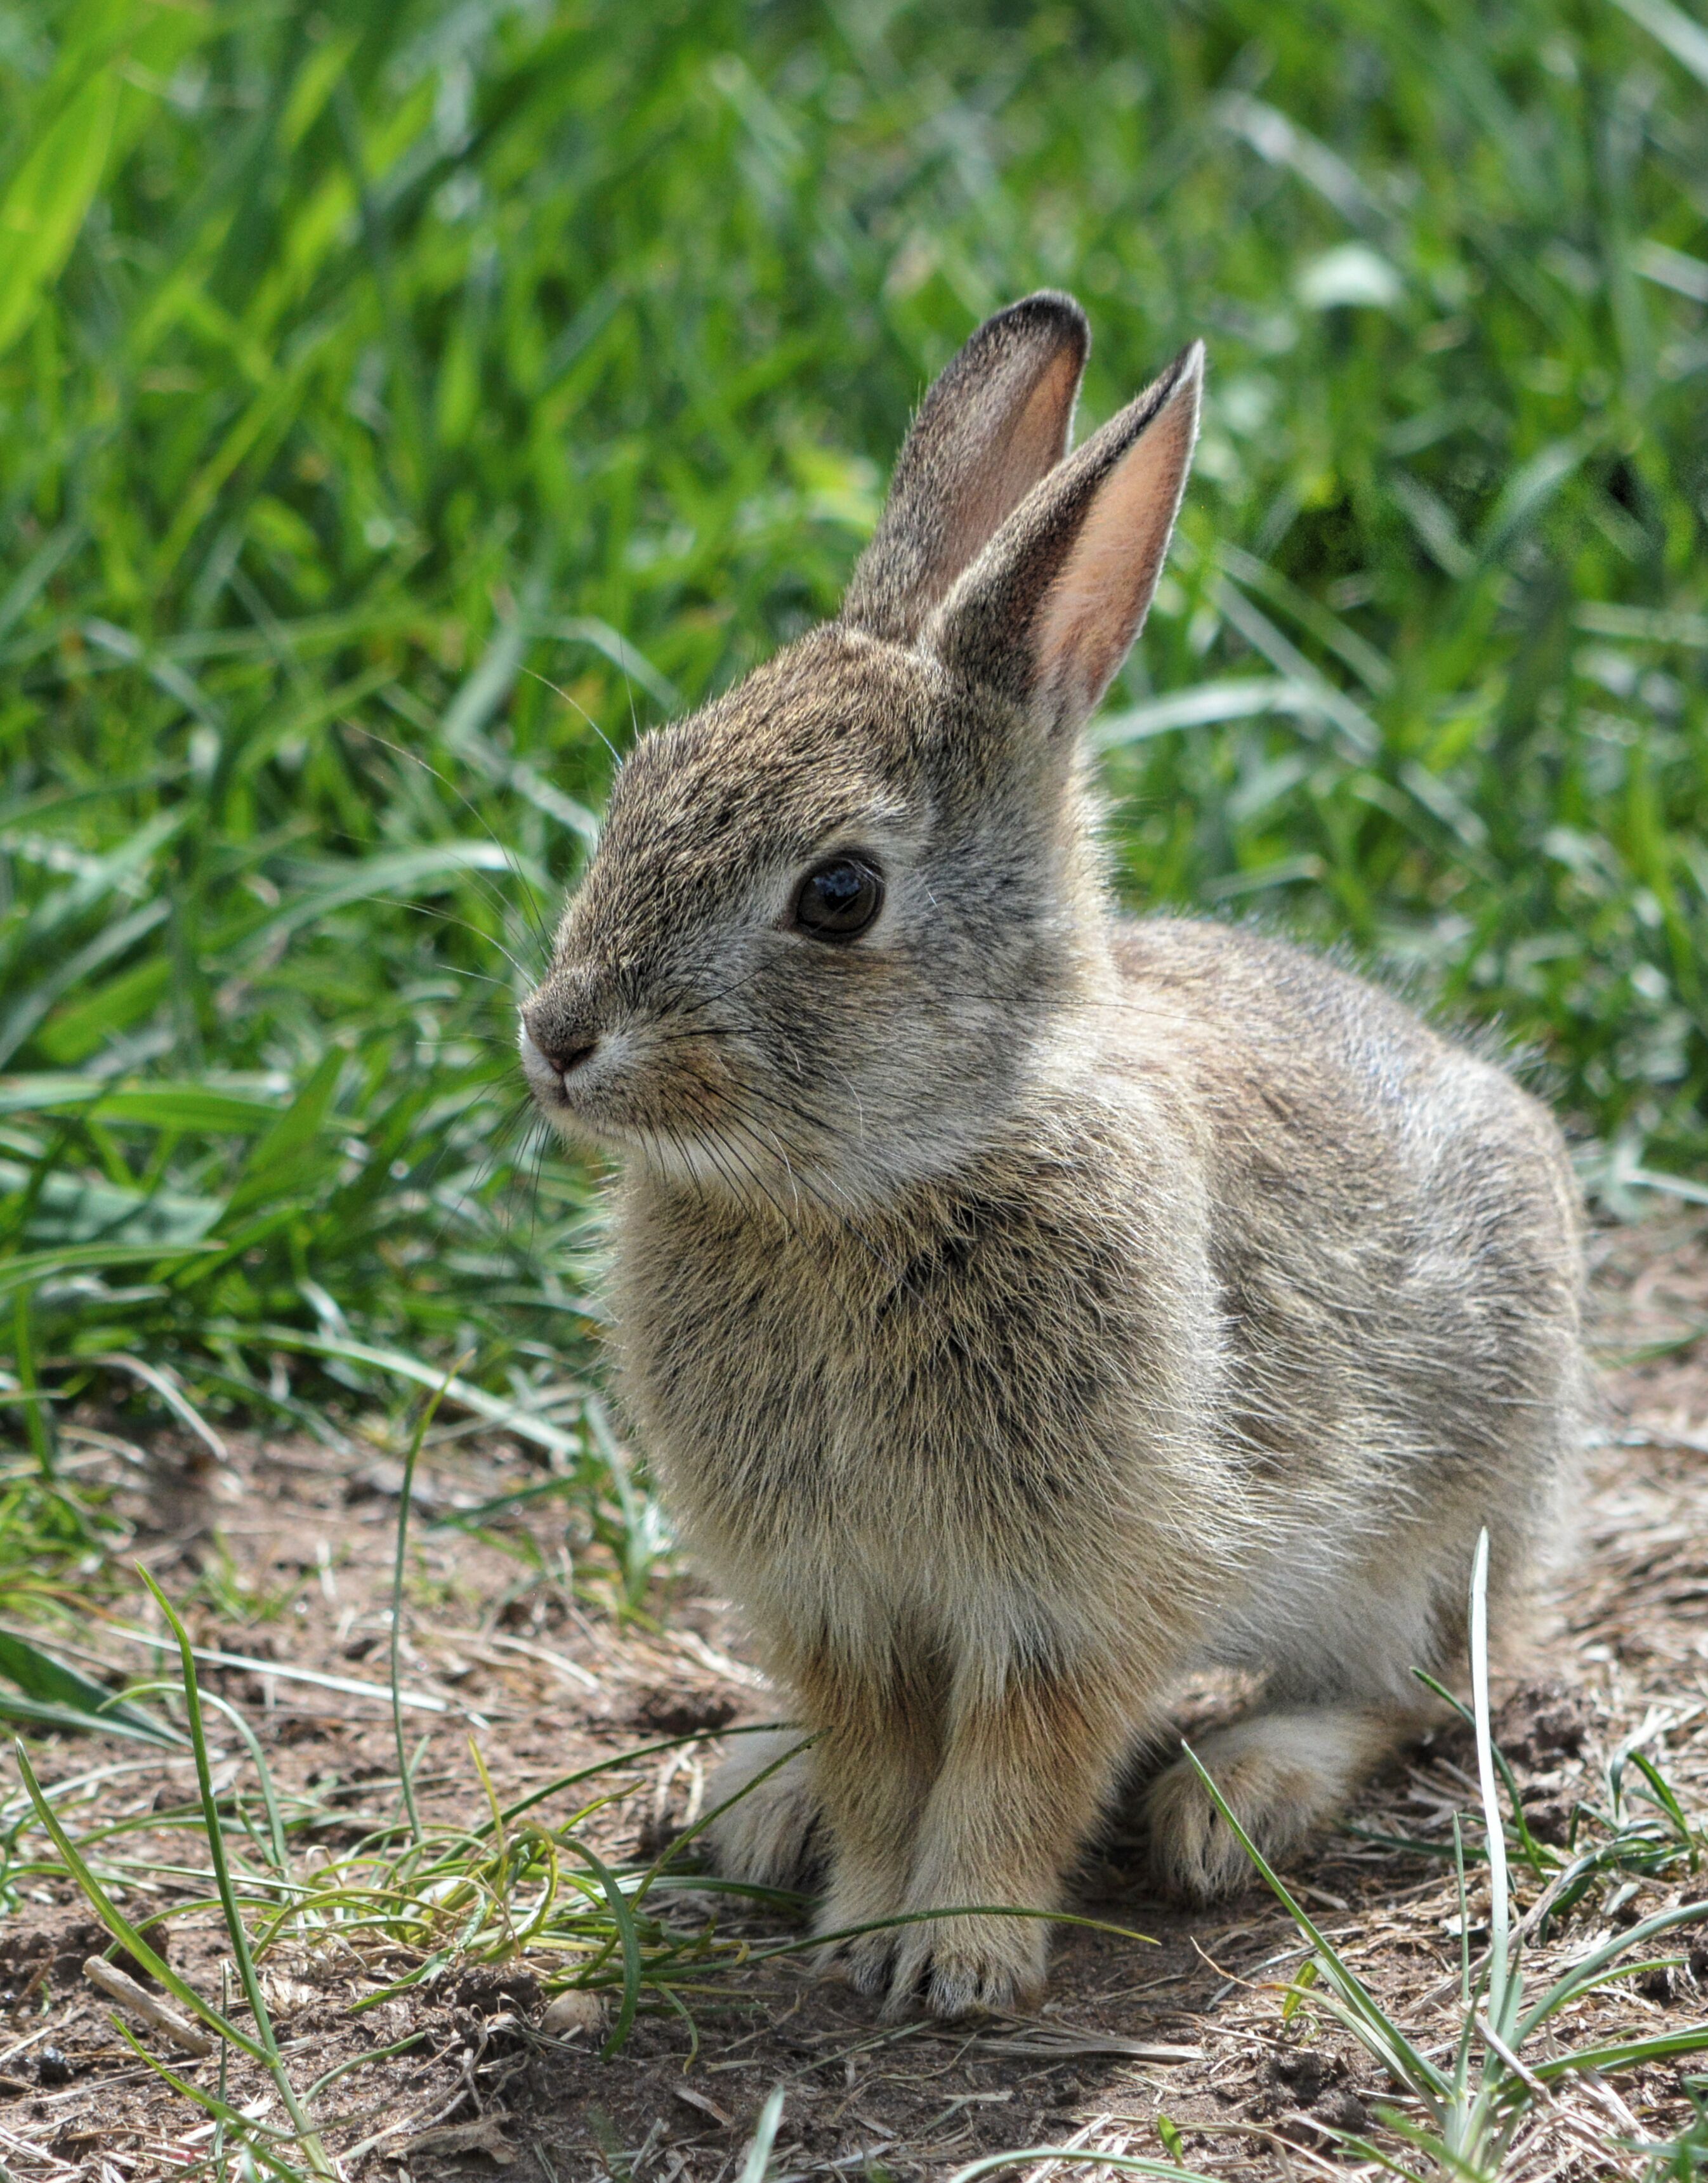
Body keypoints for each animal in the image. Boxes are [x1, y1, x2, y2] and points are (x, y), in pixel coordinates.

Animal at [518, 292, 1586, 2021]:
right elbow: (880, 1761)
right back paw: (761, 1792)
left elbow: (1018, 1766)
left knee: (1413, 1683)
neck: (868, 1188)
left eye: (837, 895)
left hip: (1443, 1518)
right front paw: (861, 1923)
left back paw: (1237, 1796)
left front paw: (955, 1953)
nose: (558, 1038)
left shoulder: (1076, 1595)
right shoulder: (838, 1600)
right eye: (637, 785)